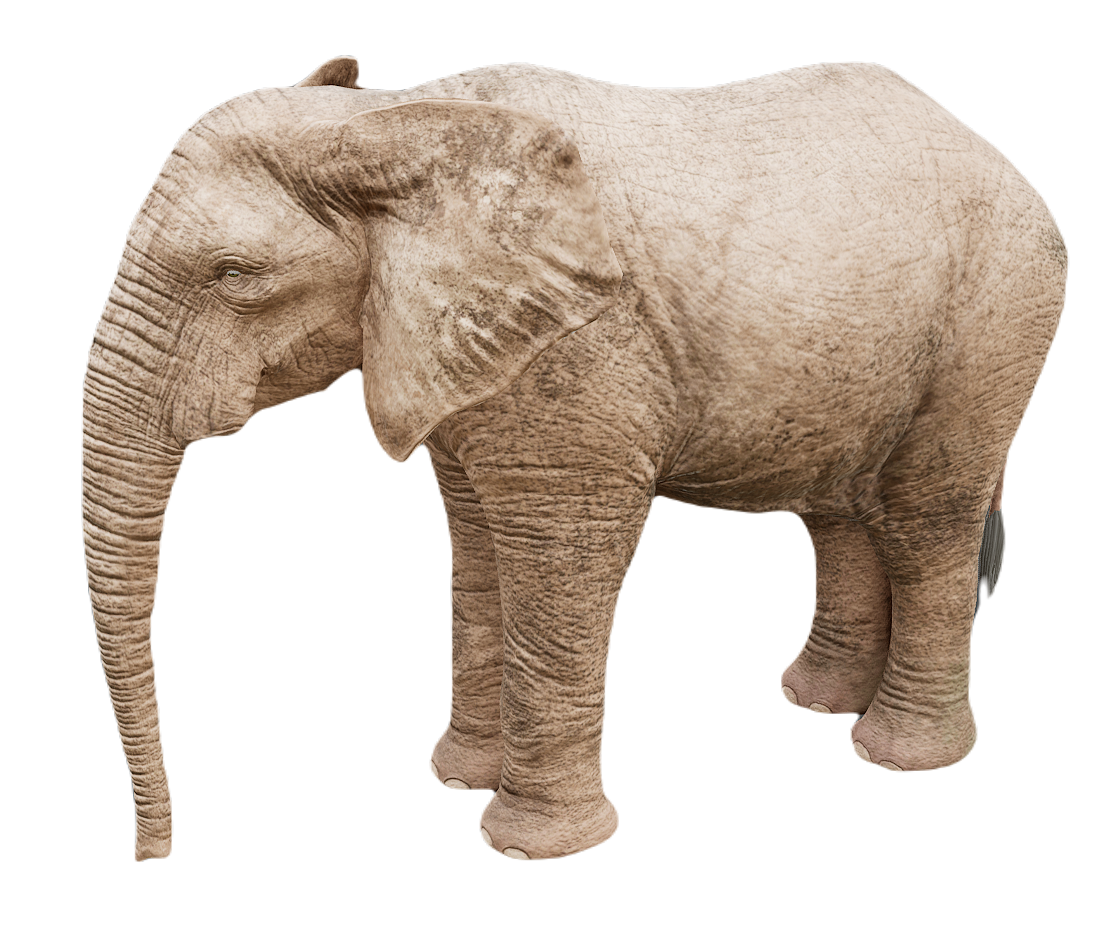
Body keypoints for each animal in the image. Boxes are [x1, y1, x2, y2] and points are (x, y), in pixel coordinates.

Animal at [82, 56, 1068, 862]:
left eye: (234, 276)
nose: (154, 854)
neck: (400, 121)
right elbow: (477, 551)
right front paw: (457, 779)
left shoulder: (585, 351)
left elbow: (562, 555)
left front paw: (531, 845)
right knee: (839, 514)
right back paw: (816, 702)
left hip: (998, 318)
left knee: (926, 520)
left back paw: (897, 756)